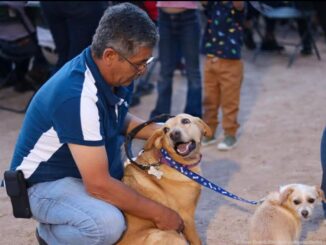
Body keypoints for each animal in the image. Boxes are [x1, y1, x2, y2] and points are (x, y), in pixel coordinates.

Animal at [117, 114, 211, 245]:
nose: (174, 134)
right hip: (166, 234)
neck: (173, 162)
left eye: (185, 121)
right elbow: (196, 241)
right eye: (166, 130)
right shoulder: (186, 217)